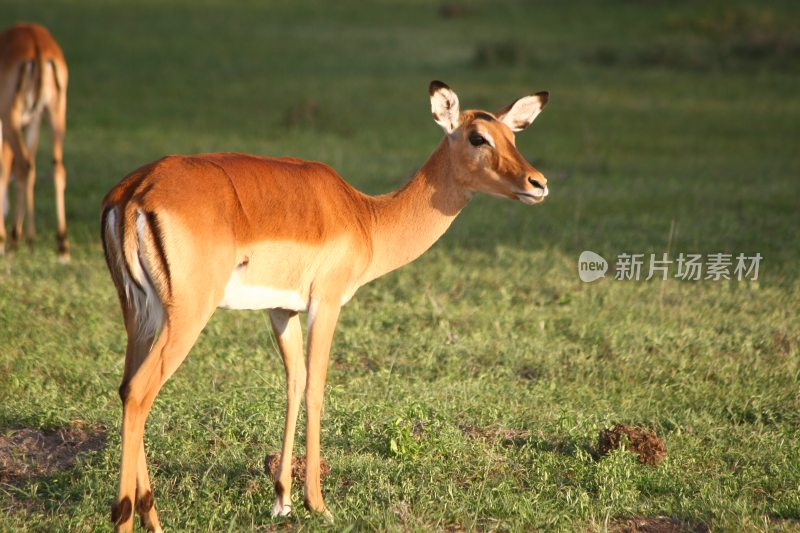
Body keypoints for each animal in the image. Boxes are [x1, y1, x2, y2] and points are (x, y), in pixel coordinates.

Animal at [0, 22, 69, 260]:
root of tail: (36, 41)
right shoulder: (33, 122)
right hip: (54, 114)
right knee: (54, 169)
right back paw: (61, 246)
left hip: (10, 116)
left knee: (22, 165)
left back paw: (11, 240)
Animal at [101, 81, 552, 528]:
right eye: (478, 137)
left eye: (513, 136)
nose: (538, 183)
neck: (365, 217)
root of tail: (134, 192)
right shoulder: (327, 303)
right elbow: (317, 386)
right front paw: (317, 503)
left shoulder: (281, 311)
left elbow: (294, 382)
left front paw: (282, 499)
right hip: (186, 317)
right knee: (140, 392)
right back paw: (127, 515)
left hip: (139, 317)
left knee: (126, 388)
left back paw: (150, 515)